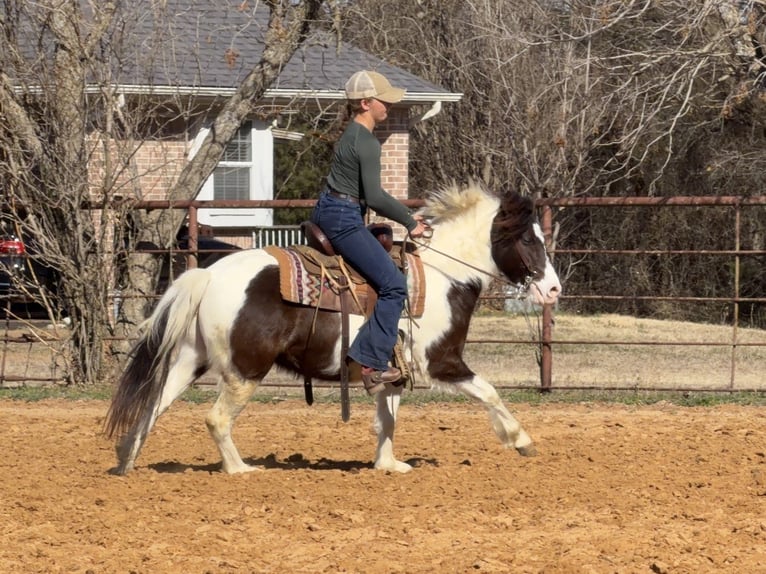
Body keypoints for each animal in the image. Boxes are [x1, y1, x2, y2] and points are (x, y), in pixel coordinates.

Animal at [105, 182, 562, 475]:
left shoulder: (393, 372)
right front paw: (522, 441)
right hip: (245, 370)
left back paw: (126, 460)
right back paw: (240, 470)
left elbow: (387, 419)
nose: (554, 288)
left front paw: (388, 464)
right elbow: (490, 392)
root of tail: (209, 275)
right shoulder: (442, 362)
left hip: (190, 360)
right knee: (216, 419)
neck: (441, 275)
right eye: (528, 240)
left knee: (153, 405)